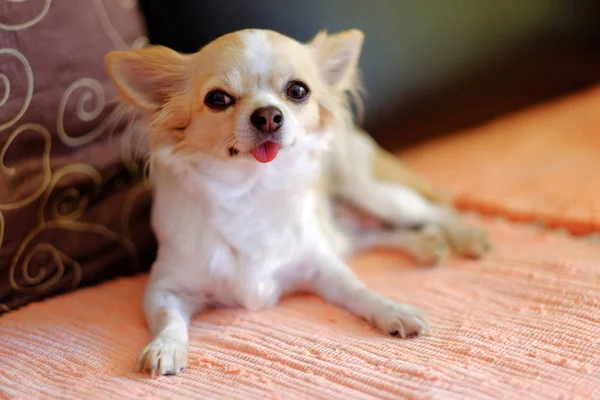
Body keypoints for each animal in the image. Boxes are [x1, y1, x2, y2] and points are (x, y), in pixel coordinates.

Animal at [104, 29, 488, 376]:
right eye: (217, 99)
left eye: (297, 91)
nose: (268, 115)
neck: (252, 190)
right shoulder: (163, 288)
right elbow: (168, 318)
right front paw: (165, 347)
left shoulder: (321, 266)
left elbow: (358, 289)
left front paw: (392, 309)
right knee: (373, 236)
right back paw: (425, 245)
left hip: (371, 192)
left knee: (432, 211)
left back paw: (467, 237)